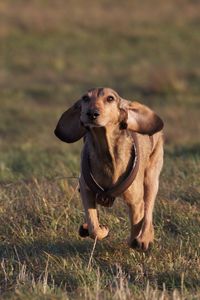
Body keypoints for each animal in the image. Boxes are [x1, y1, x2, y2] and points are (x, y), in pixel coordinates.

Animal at [54, 87, 164, 251]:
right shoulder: (86, 190)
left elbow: (137, 224)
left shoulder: (135, 202)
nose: (92, 113)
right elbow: (94, 226)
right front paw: (101, 229)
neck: (106, 151)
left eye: (110, 98)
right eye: (85, 98)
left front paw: (137, 240)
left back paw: (145, 238)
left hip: (151, 179)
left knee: (148, 210)